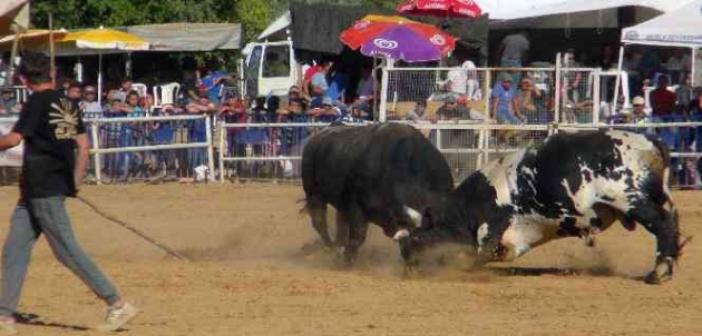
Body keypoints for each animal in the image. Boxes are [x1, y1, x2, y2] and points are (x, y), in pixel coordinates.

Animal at [302, 122, 456, 262]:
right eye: (417, 243)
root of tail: (317, 137)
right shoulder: (357, 206)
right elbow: (358, 236)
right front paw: (347, 258)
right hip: (314, 193)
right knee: (319, 221)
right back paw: (331, 248)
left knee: (340, 223)